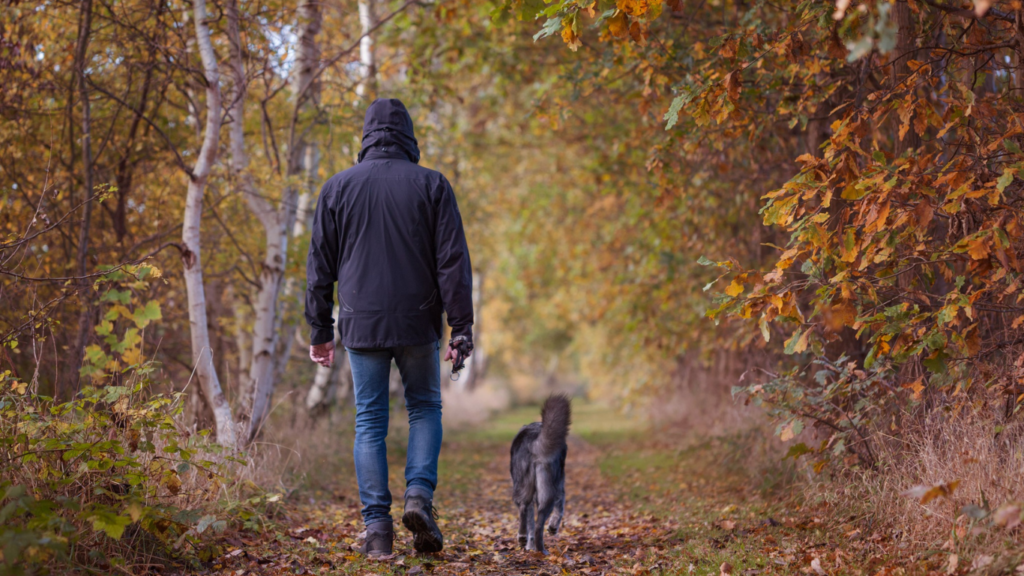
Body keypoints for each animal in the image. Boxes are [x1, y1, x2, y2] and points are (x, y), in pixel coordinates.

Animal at [509, 393, 573, 553]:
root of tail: (534, 440)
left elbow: (530, 522)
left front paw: (528, 545)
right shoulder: (560, 485)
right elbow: (561, 507)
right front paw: (553, 527)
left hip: (524, 487)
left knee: (525, 509)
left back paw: (524, 539)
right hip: (548, 489)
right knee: (539, 524)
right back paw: (542, 550)